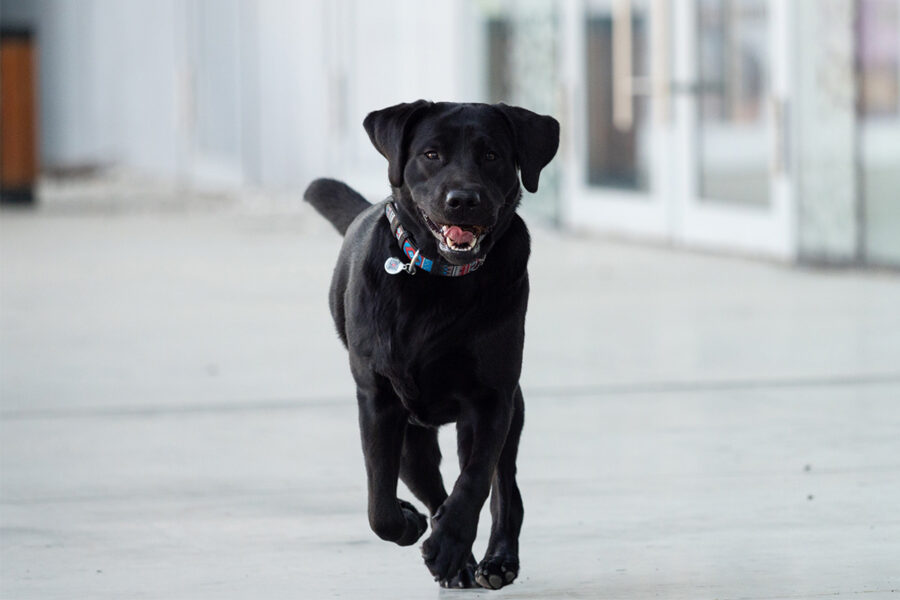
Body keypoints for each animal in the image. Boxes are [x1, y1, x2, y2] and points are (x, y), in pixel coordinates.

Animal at [306, 101, 560, 588]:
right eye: (431, 154)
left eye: (492, 156)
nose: (462, 199)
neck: (439, 281)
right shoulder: (379, 400)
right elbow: (379, 504)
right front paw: (412, 526)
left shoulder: (491, 399)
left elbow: (475, 480)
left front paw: (448, 544)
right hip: (412, 441)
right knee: (428, 487)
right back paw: (451, 551)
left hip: (510, 411)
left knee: (503, 487)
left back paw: (494, 560)